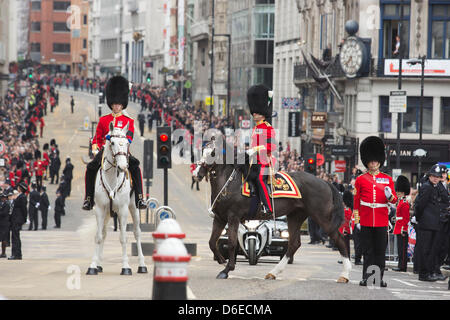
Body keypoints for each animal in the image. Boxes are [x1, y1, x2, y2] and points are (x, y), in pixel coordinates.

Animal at [85, 122, 147, 276]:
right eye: (112, 142)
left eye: (127, 143)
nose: (123, 166)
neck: (112, 176)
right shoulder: (100, 209)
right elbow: (98, 237)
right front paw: (93, 266)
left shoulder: (123, 210)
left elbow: (123, 238)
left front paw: (126, 267)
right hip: (107, 213)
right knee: (104, 233)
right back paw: (99, 265)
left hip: (134, 208)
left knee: (137, 233)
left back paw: (142, 265)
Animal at [193, 140, 352, 282]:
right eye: (203, 151)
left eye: (213, 153)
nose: (197, 174)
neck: (230, 183)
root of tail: (325, 181)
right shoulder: (220, 218)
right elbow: (212, 242)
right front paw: (222, 260)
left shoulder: (233, 217)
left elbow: (232, 243)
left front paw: (227, 269)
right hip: (296, 215)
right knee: (294, 244)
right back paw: (273, 272)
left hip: (322, 217)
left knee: (339, 239)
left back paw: (345, 274)